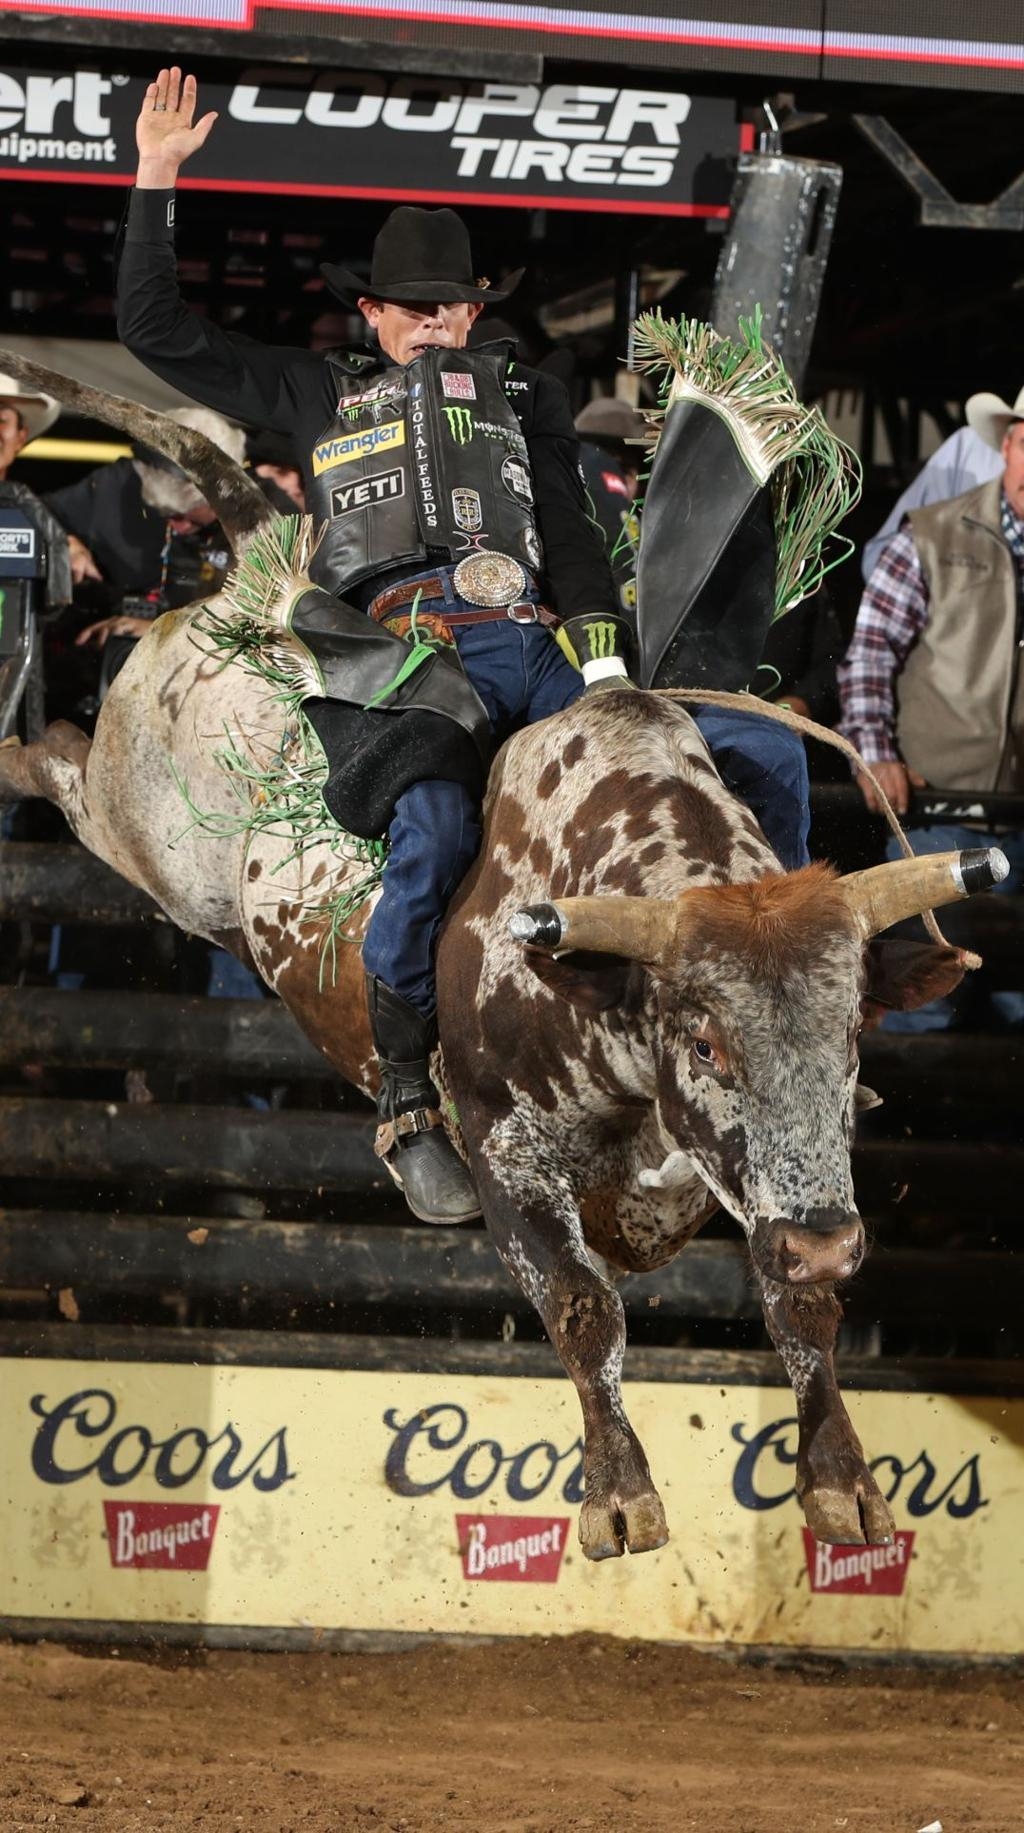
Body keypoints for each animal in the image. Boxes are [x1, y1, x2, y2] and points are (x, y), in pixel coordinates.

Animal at [0, 357, 1003, 1561]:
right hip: (141, 827)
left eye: (852, 1032)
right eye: (704, 1041)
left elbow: (793, 1303)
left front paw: (840, 1477)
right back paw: (24, 731)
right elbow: (580, 1303)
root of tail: (255, 565)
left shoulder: (780, 1187)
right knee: (66, 768)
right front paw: (618, 1493)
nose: (825, 1245)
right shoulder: (504, 1150)